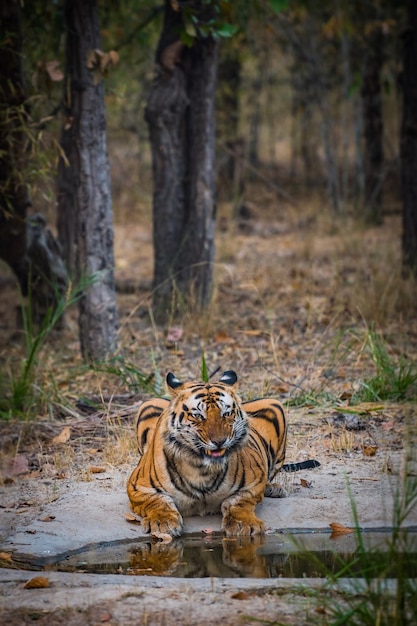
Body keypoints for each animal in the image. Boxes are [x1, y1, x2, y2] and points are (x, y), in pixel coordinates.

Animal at [127, 370, 318, 536]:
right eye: (198, 415)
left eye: (226, 413)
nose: (219, 441)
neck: (201, 470)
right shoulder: (137, 487)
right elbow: (158, 502)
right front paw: (162, 522)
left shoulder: (253, 483)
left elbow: (237, 502)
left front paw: (243, 524)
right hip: (147, 403)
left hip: (276, 406)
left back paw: (274, 488)